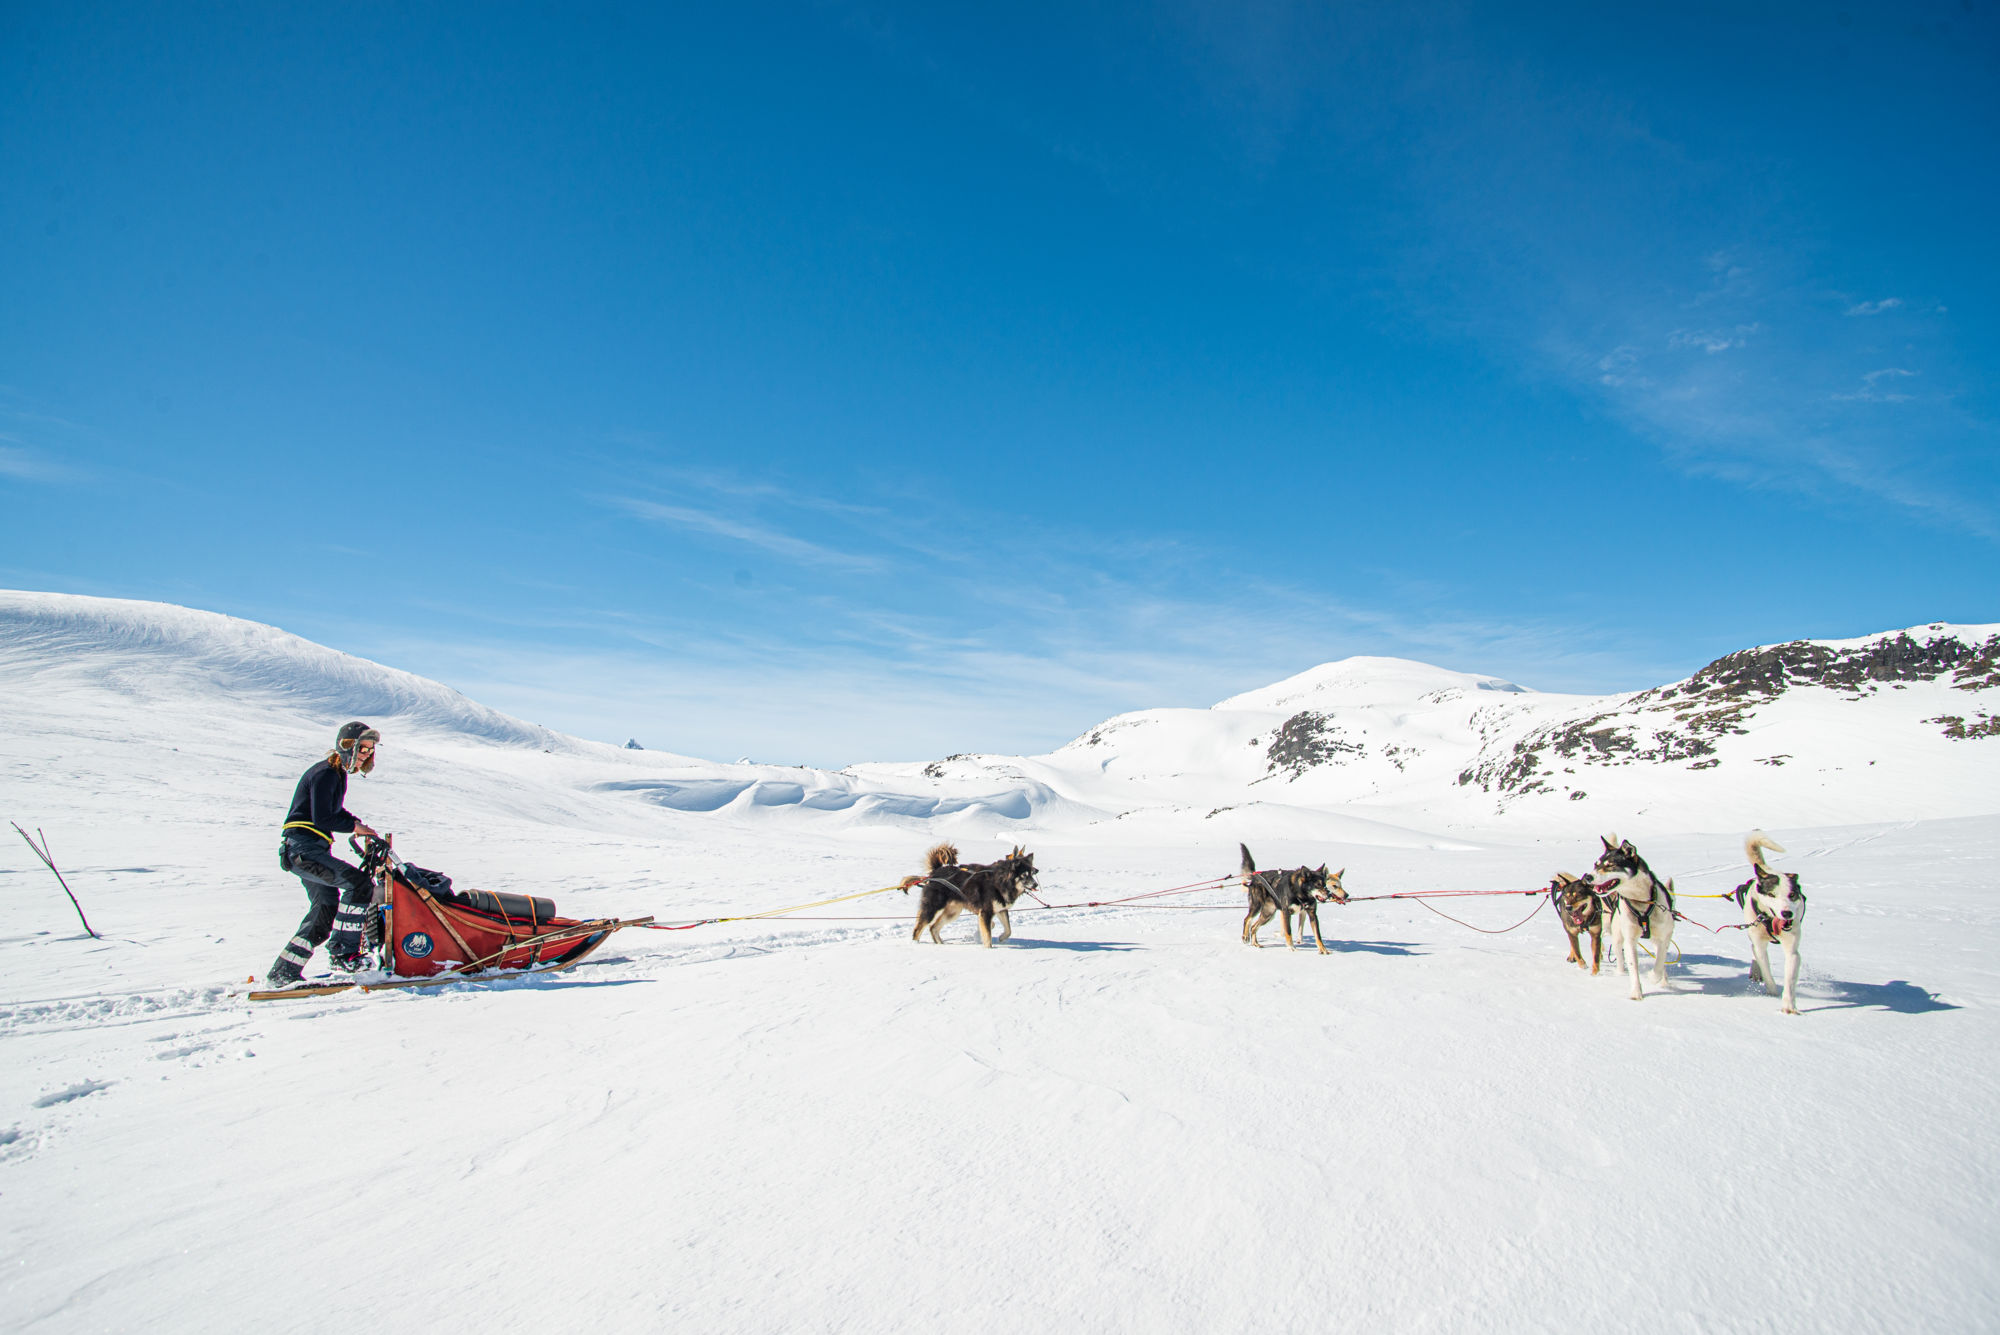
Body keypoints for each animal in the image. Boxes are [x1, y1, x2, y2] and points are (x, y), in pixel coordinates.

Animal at [904, 843, 1040, 947]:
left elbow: (1008, 930)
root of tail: (936, 871)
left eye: (1031, 873)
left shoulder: (1001, 909)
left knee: (933, 927)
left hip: (952, 912)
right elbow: (987, 935)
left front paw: (1001, 937)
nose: (1036, 884)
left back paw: (941, 945)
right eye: (1024, 875)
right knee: (919, 928)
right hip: (933, 908)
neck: (1001, 881)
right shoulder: (985, 912)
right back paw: (915, 945)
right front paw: (989, 949)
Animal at [1592, 835, 1672, 999]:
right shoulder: (1630, 939)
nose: (1587, 876)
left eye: (1610, 865)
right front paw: (1636, 993)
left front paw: (1654, 977)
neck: (1641, 902)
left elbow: (1660, 961)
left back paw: (1664, 981)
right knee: (1620, 957)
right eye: (1596, 864)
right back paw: (1620, 973)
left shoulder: (1665, 936)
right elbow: (1633, 966)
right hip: (1617, 936)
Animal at [1728, 827, 1808, 1015]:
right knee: (1755, 953)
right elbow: (1767, 971)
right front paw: (1771, 993)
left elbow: (1789, 979)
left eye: (1792, 894)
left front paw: (1789, 1006)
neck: (1769, 920)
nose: (1786, 913)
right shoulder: (1760, 944)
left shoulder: (1792, 951)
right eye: (1772, 894)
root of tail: (1767, 869)